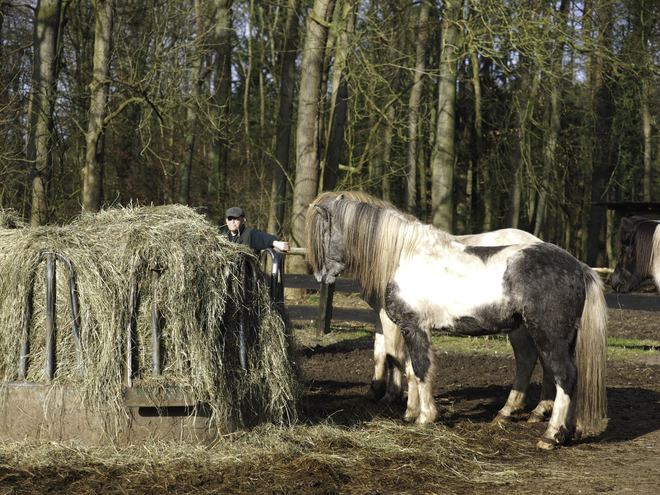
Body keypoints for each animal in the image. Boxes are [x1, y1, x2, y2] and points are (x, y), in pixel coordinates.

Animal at [310, 194, 608, 450]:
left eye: (322, 233)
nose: (320, 277)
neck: (403, 256)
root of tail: (579, 266)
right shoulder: (410, 328)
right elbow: (410, 369)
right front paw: (410, 414)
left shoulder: (412, 326)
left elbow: (419, 369)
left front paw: (424, 417)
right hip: (558, 338)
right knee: (559, 372)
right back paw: (561, 431)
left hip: (548, 335)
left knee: (564, 375)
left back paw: (550, 434)